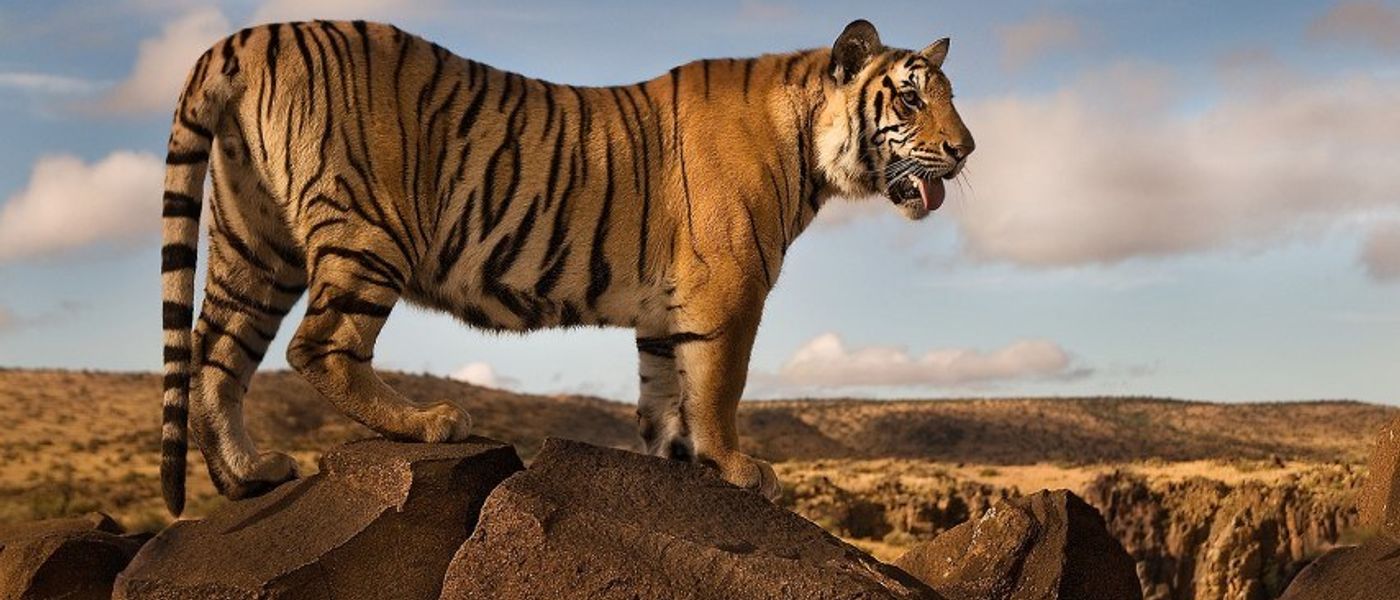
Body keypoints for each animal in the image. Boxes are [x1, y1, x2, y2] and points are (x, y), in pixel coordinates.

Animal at [158, 18, 974, 515]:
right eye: (909, 99)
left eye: (950, 97)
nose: (966, 149)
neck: (810, 146)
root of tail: (249, 37)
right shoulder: (728, 287)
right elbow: (719, 386)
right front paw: (738, 468)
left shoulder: (665, 309)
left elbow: (665, 393)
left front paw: (679, 460)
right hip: (368, 231)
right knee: (316, 346)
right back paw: (428, 423)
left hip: (254, 242)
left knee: (216, 353)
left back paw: (247, 476)